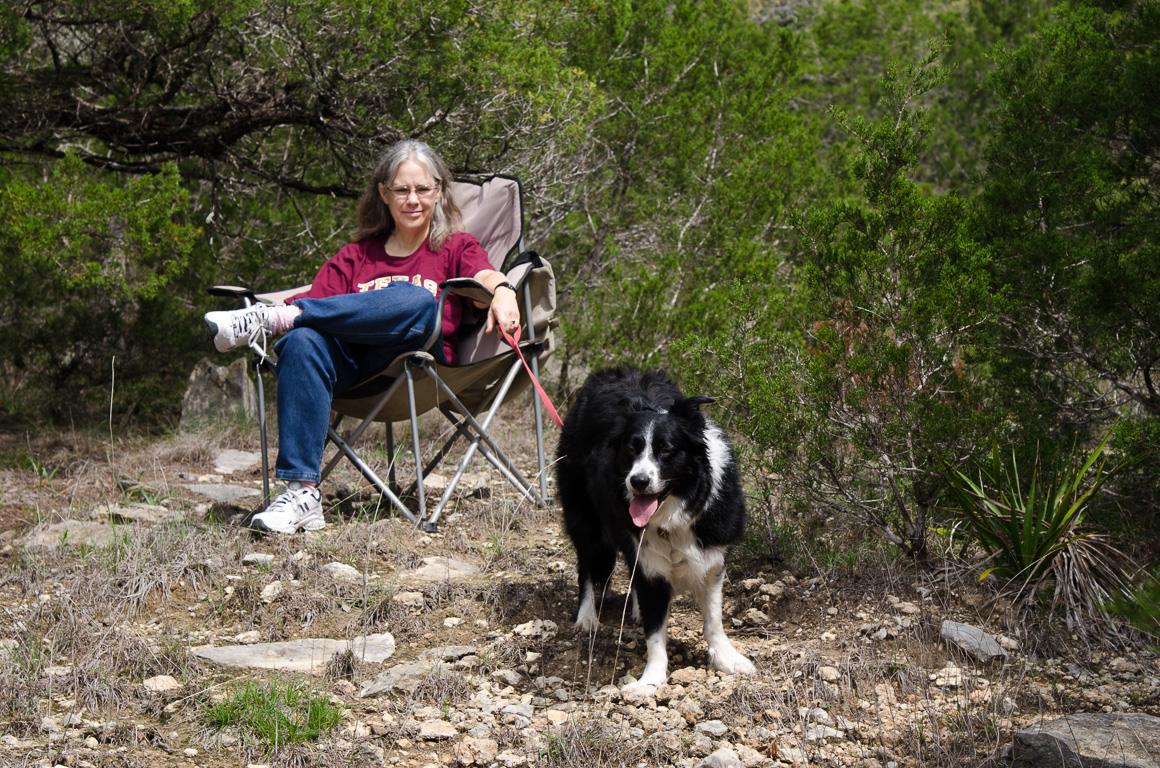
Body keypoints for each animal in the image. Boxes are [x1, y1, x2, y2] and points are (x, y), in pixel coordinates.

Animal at [554, 368, 756, 696]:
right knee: (587, 566)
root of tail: (609, 374)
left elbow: (713, 617)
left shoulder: (711, 557)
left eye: (666, 451)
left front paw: (727, 658)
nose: (638, 481)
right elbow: (655, 633)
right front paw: (651, 679)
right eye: (630, 450)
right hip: (586, 519)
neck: (676, 508)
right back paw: (587, 616)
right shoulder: (647, 554)